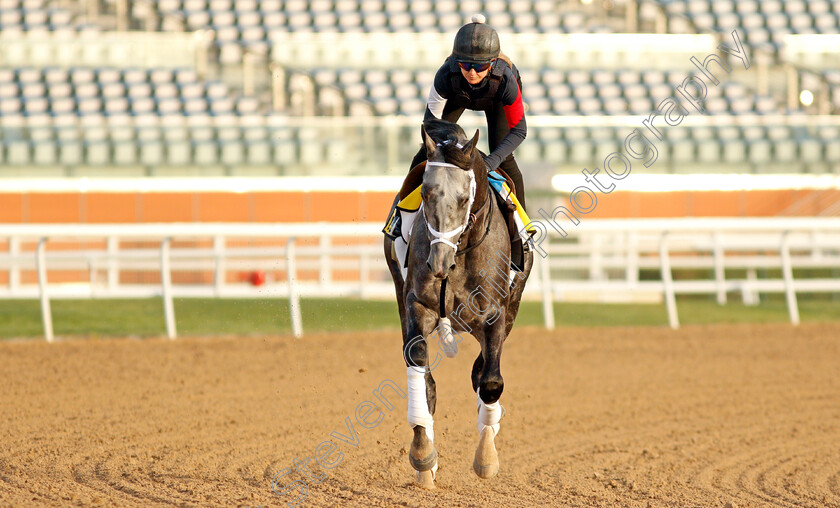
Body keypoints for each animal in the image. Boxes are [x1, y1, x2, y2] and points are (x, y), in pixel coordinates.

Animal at [386, 119, 536, 488]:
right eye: (426, 194)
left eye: (465, 197)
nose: (438, 262)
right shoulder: (417, 305)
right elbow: (419, 367)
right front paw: (423, 455)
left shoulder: (497, 314)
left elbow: (490, 381)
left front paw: (487, 458)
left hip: (510, 309)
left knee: (482, 373)